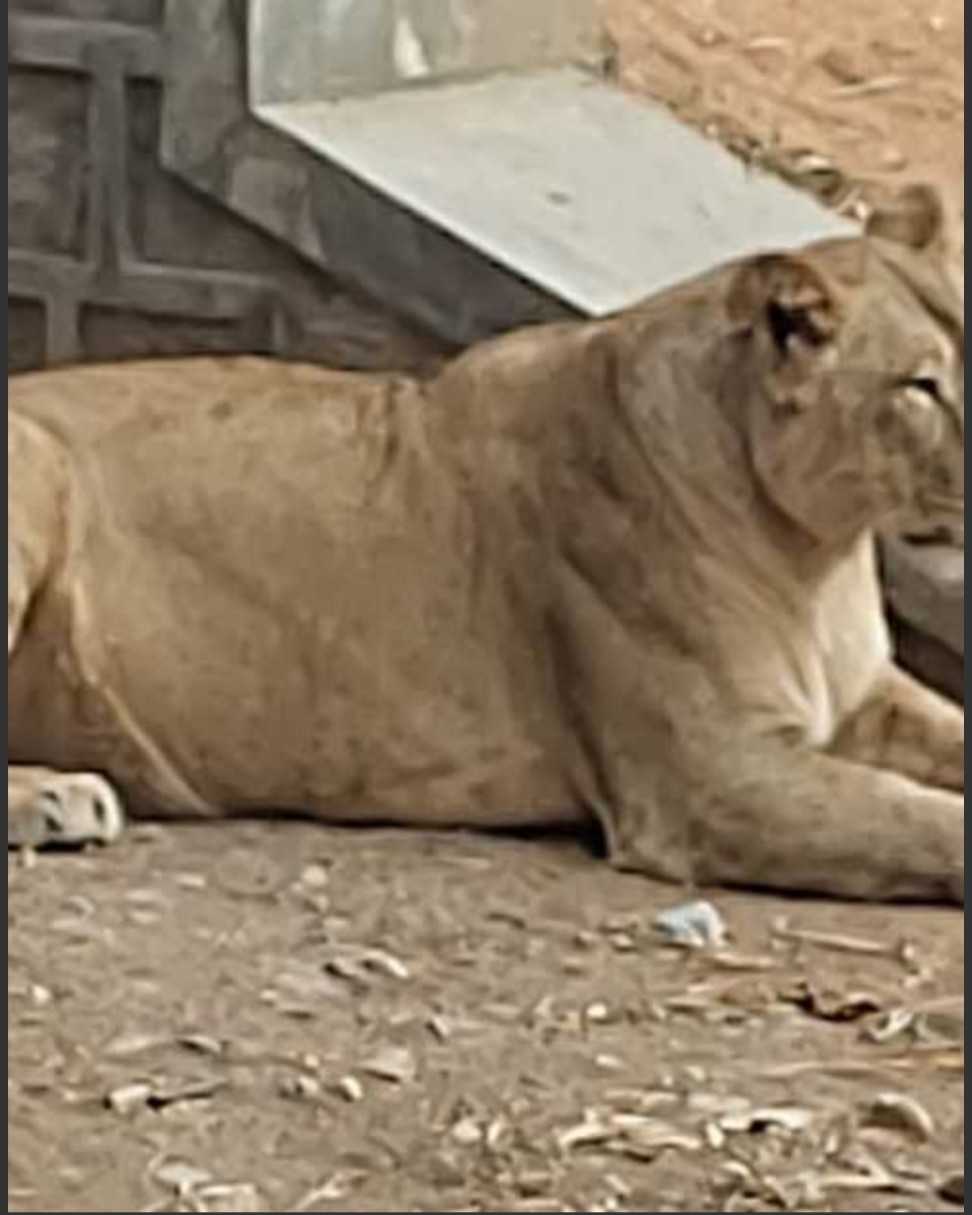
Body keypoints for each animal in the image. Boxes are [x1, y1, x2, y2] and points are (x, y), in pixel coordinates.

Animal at [7, 184, 964, 903]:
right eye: (923, 387)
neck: (817, 556)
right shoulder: (710, 780)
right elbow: (910, 816)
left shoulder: (865, 698)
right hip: (35, 469)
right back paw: (57, 796)